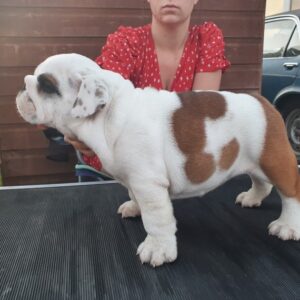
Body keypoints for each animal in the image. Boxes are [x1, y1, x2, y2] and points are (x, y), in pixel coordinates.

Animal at [15, 53, 300, 268]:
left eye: (47, 85)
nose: (23, 85)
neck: (107, 116)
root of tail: (264, 102)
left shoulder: (148, 183)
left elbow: (156, 219)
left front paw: (157, 249)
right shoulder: (135, 180)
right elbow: (133, 195)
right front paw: (134, 207)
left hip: (275, 159)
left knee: (290, 194)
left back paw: (287, 226)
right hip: (257, 161)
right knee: (262, 182)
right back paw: (252, 198)